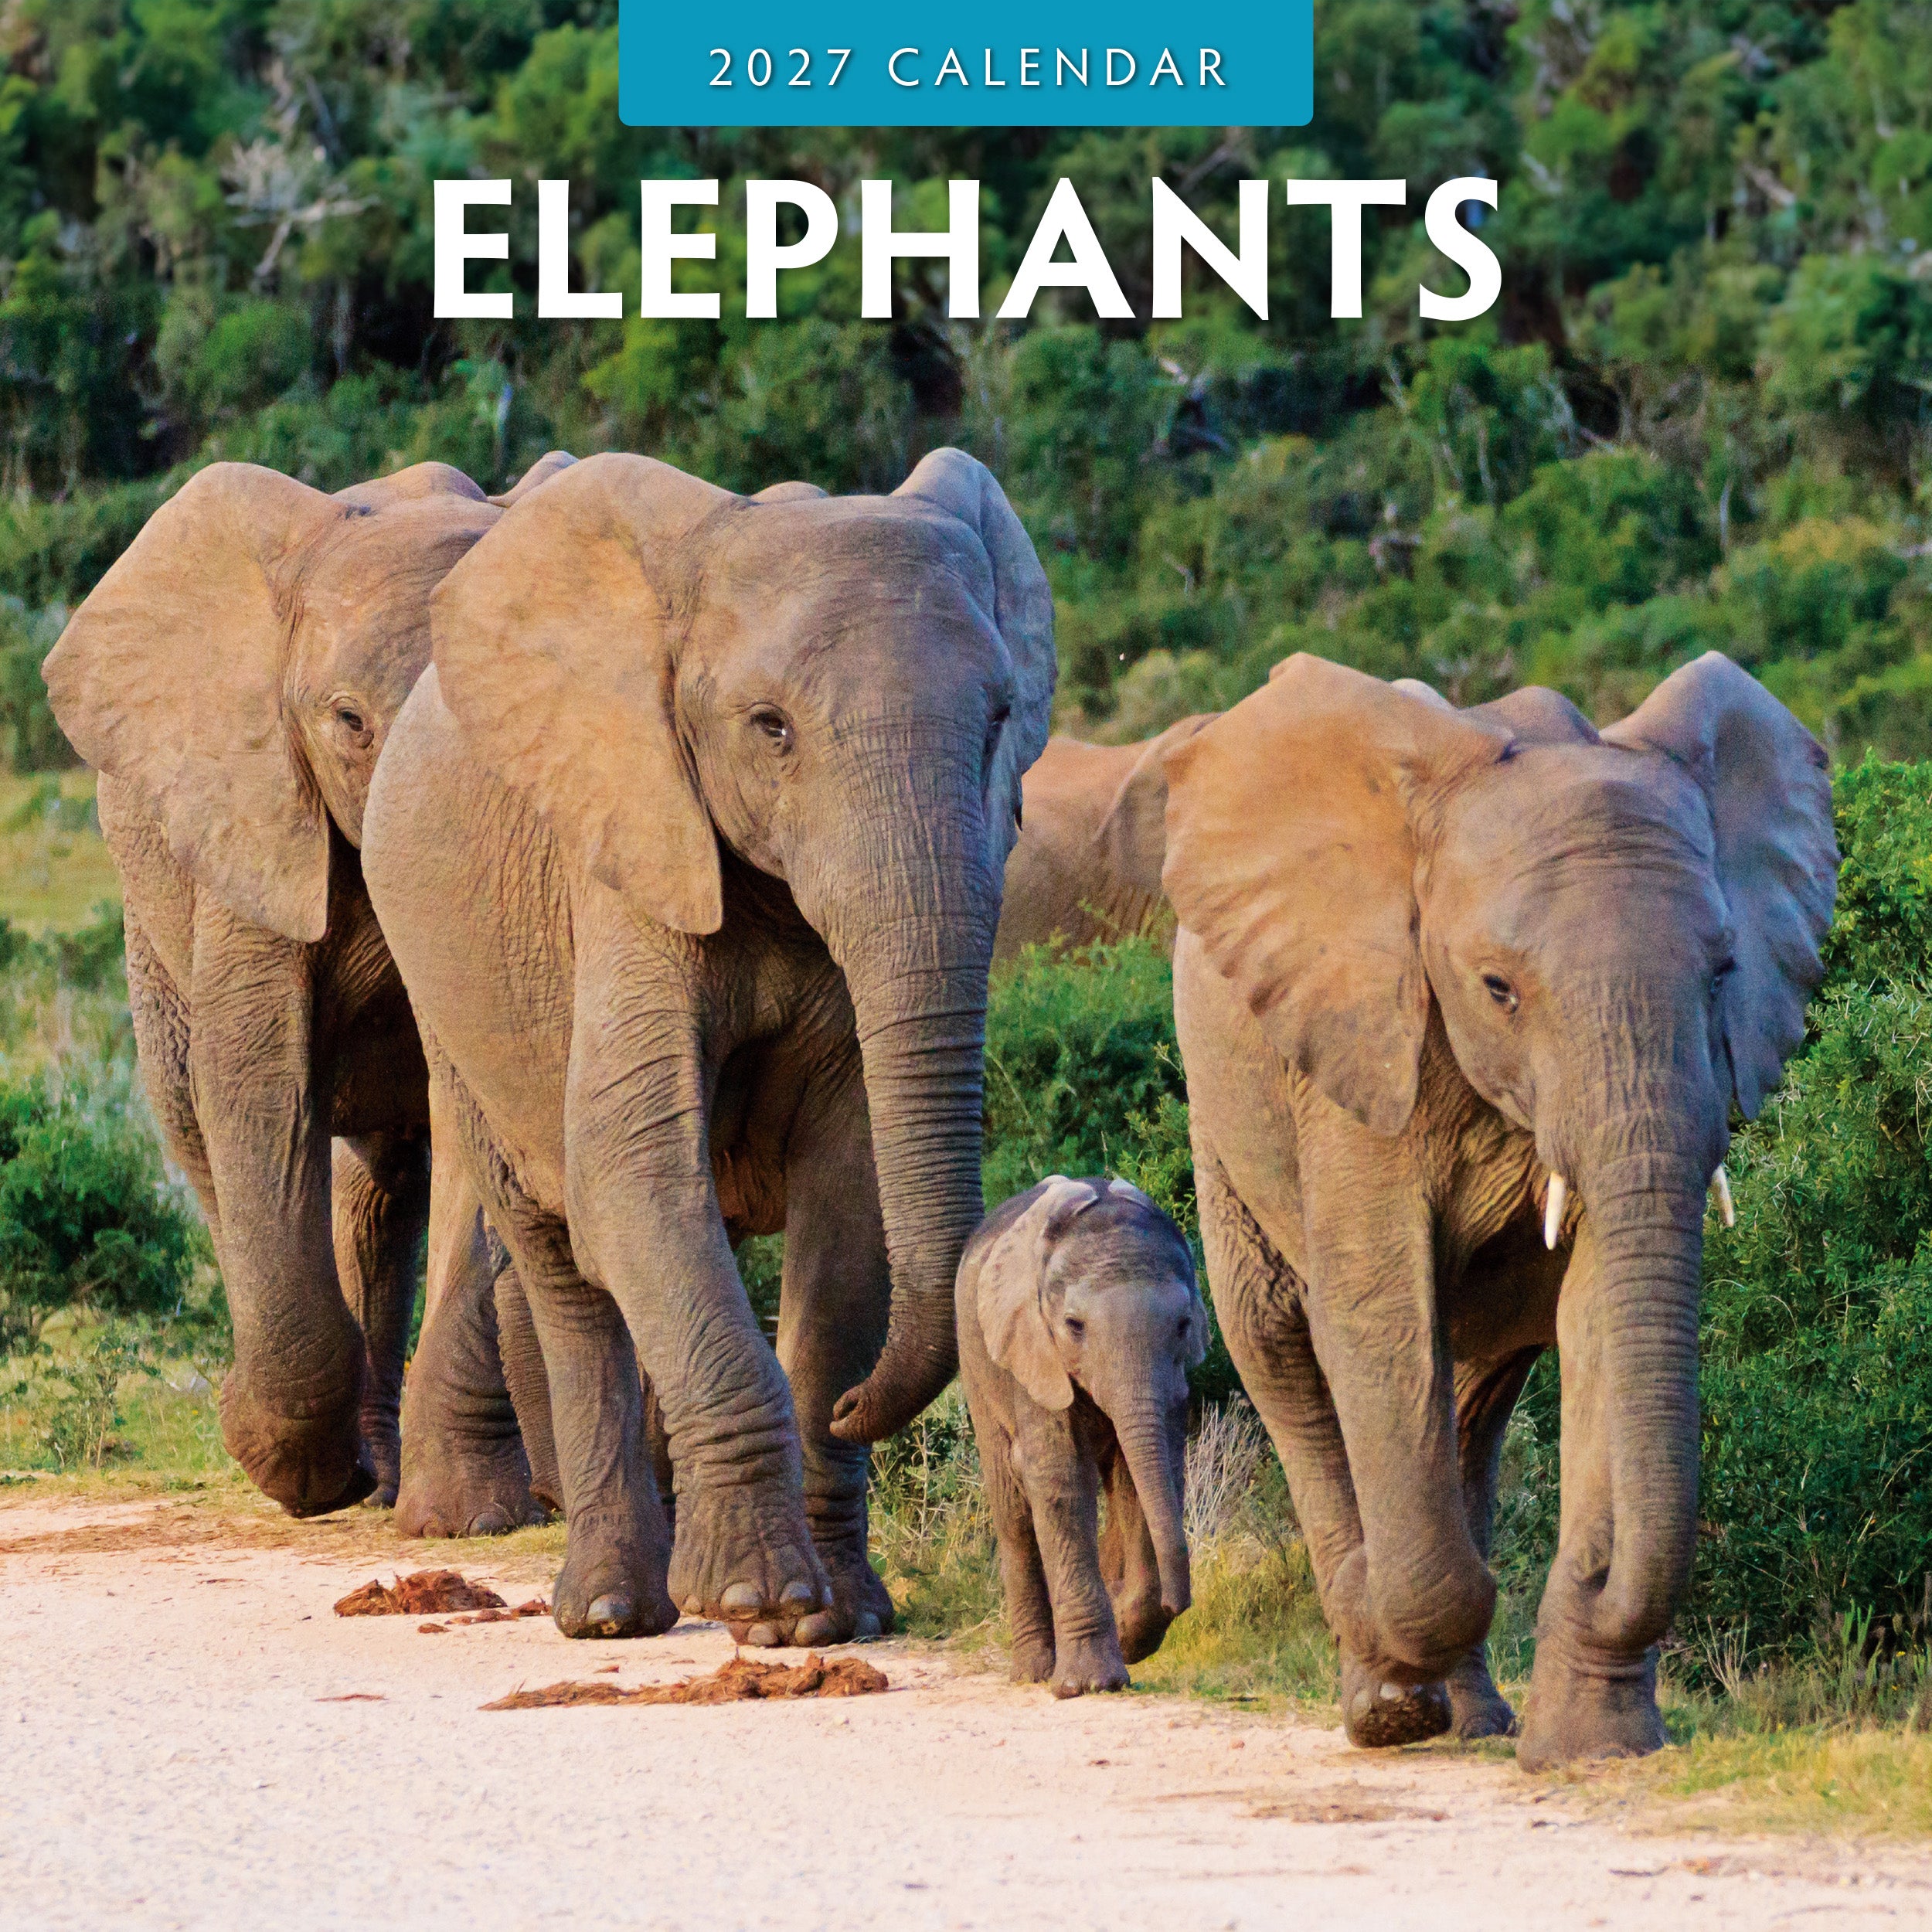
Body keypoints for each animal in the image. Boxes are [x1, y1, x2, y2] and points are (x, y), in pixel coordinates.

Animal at [42, 454, 572, 1524]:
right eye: (347, 721)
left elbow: (471, 1109)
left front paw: (461, 1516)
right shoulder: (252, 821)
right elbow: (255, 1080)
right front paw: (284, 1463)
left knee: (389, 1180)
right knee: (199, 1124)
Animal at [361, 447, 1056, 1645]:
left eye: (1001, 717)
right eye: (770, 728)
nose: (862, 1407)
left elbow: (849, 1196)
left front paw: (837, 1617)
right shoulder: (624, 854)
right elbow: (633, 1171)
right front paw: (758, 1603)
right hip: (446, 990)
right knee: (560, 1257)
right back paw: (610, 1613)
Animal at [957, 1175, 1205, 1697]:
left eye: (1183, 1325)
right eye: (1073, 1326)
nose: (1176, 1606)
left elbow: (1144, 1478)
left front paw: (1130, 1636)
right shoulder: (1033, 1347)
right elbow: (1061, 1480)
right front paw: (1087, 1685)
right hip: (976, 1361)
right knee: (1013, 1514)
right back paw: (1033, 1673)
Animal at [1160, 651, 1836, 1768]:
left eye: (1723, 975)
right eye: (1496, 989)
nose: (1597, 1578)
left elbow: (1598, 1310)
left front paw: (1594, 1748)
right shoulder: (1361, 1040)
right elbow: (1376, 1315)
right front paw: (1397, 1665)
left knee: (1474, 1394)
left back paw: (1469, 1716)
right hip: (1222, 1108)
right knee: (1280, 1347)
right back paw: (1386, 1697)